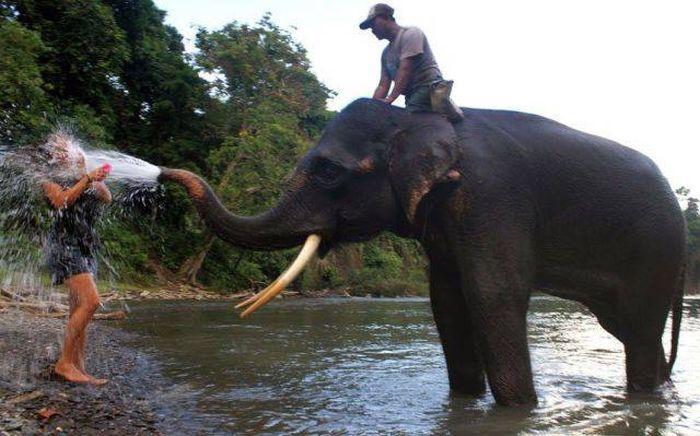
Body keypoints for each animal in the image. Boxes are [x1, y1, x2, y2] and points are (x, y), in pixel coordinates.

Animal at [157, 98, 684, 406]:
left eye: (327, 171)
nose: (162, 173)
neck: (416, 121)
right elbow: (446, 301)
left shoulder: (491, 196)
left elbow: (493, 294)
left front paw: (518, 411)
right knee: (632, 330)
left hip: (653, 252)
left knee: (639, 331)